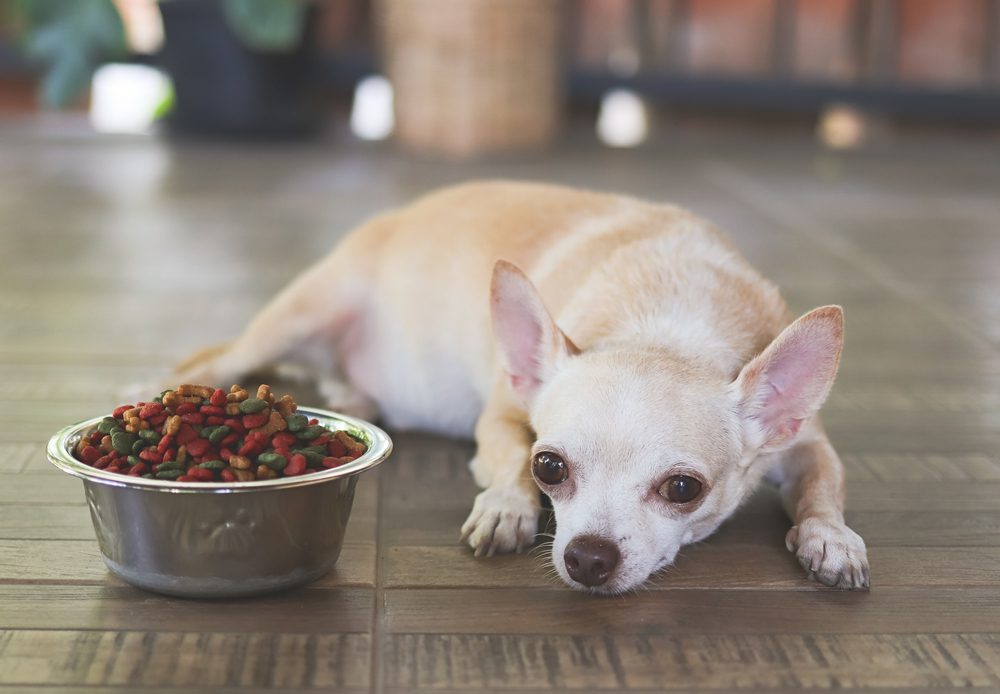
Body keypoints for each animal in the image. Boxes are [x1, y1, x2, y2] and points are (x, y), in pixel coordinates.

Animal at [172, 182, 868, 596]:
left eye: (683, 489)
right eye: (549, 467)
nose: (588, 558)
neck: (667, 328)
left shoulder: (806, 442)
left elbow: (823, 485)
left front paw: (830, 537)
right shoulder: (504, 414)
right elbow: (504, 457)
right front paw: (507, 507)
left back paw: (353, 398)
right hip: (296, 316)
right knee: (217, 358)